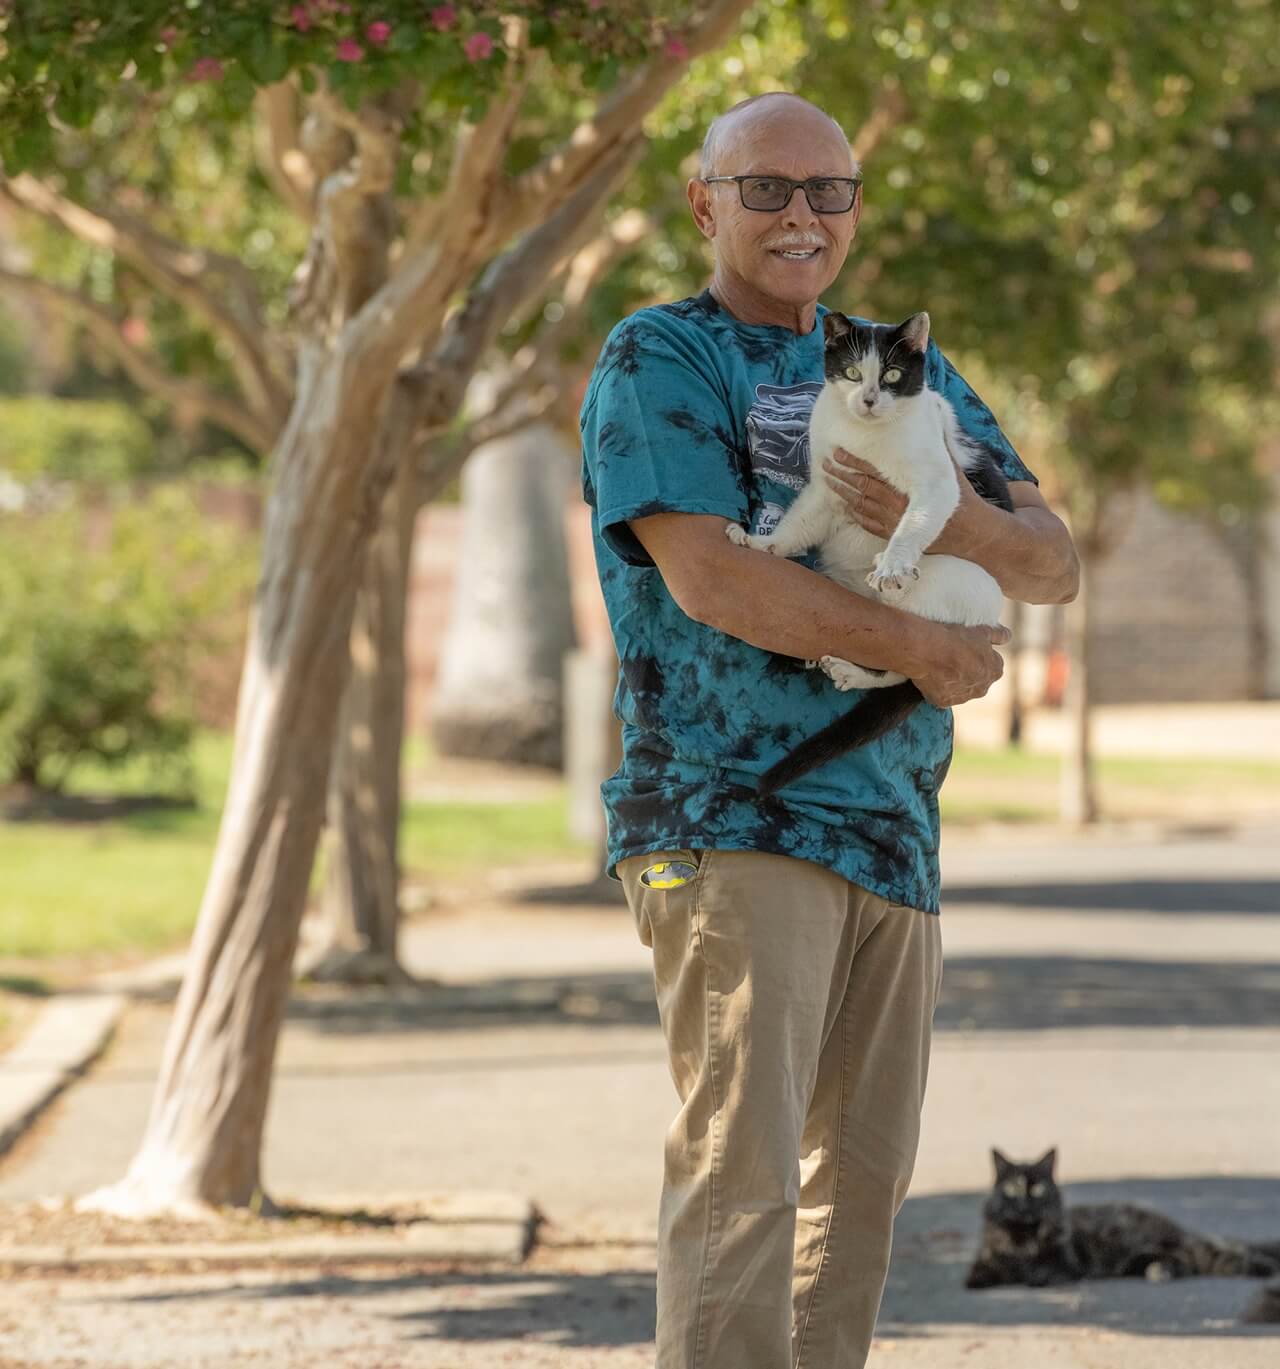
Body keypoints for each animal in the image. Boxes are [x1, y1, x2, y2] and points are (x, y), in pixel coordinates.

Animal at [728, 312, 1018, 799]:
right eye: (851, 372)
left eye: (892, 376)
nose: (867, 399)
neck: (864, 437)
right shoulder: (826, 486)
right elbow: (797, 525)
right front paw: (762, 544)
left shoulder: (937, 483)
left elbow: (913, 523)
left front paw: (893, 562)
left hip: (931, 596)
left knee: (910, 660)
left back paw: (855, 662)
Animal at [969, 1149, 1280, 1286]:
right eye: (1011, 1189)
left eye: (1037, 1189)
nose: (1024, 1205)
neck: (1023, 1237)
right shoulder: (988, 1257)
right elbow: (982, 1271)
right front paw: (987, 1277)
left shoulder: (1068, 1264)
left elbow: (1046, 1270)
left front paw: (1034, 1276)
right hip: (1141, 1257)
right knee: (1183, 1263)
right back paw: (1161, 1271)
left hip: (1163, 1245)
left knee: (1223, 1257)